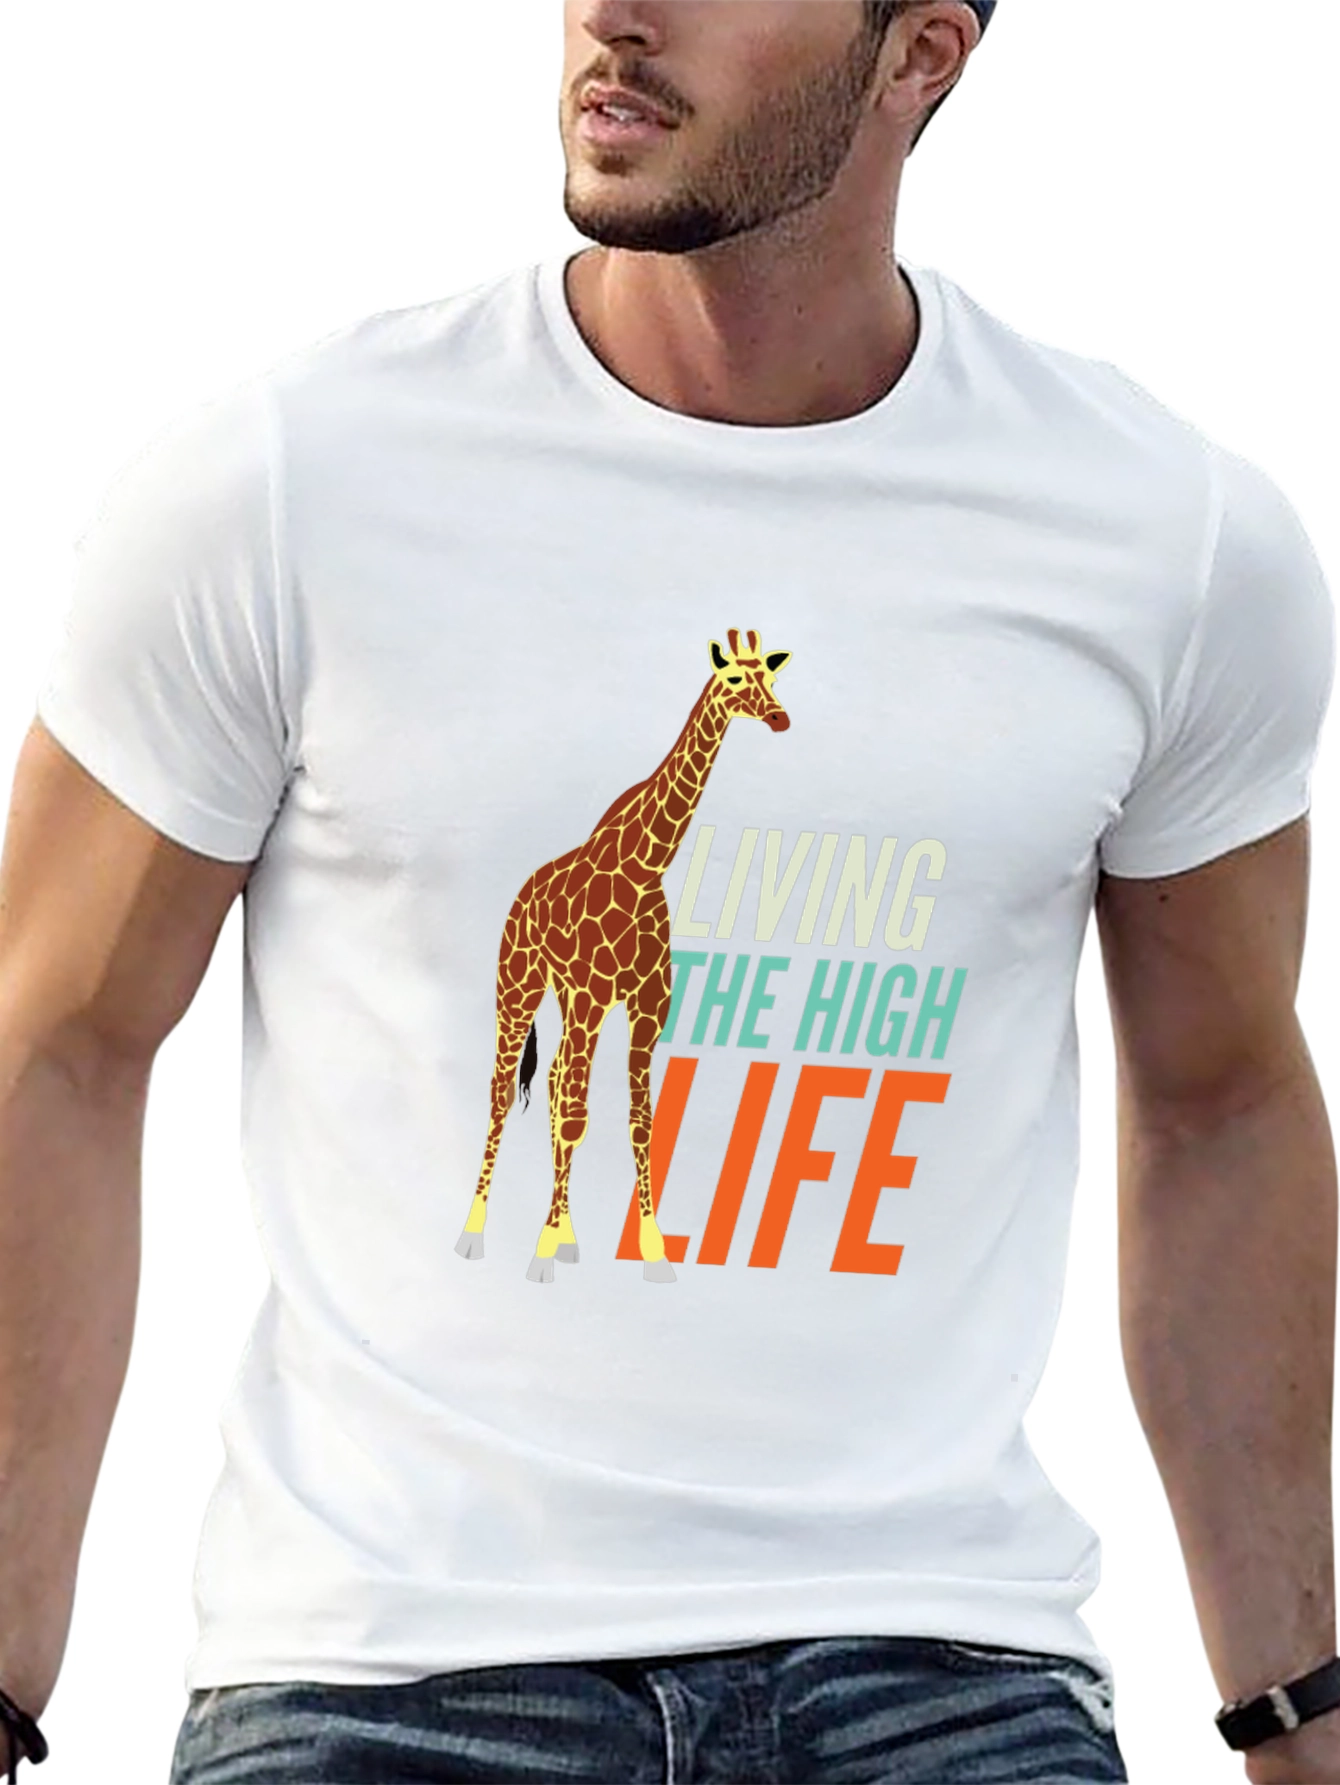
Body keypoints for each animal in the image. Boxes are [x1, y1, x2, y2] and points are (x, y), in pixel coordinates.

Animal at [456, 630, 793, 1283]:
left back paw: (567, 1232)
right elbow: (575, 1115)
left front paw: (652, 1250)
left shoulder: (647, 1006)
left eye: (770, 676)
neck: (645, 864)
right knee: (504, 1091)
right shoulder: (593, 998)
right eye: (733, 680)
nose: (779, 718)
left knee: (554, 1079)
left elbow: (640, 1121)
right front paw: (541, 1251)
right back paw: (474, 1230)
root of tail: (520, 895)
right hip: (520, 988)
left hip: (567, 1002)